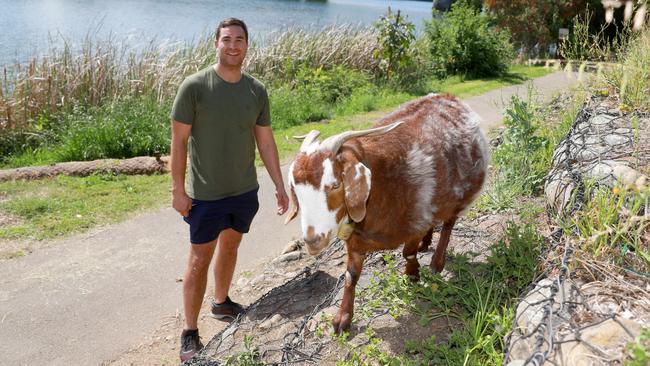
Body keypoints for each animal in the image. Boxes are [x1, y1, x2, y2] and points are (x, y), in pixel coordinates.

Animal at [284, 93, 486, 334]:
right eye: (295, 189)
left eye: (335, 185)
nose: (312, 240)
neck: (381, 187)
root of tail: (449, 97)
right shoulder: (355, 241)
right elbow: (350, 276)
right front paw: (342, 319)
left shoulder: (414, 223)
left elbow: (408, 253)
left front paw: (412, 275)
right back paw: (427, 243)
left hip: (460, 194)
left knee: (448, 225)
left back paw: (437, 262)